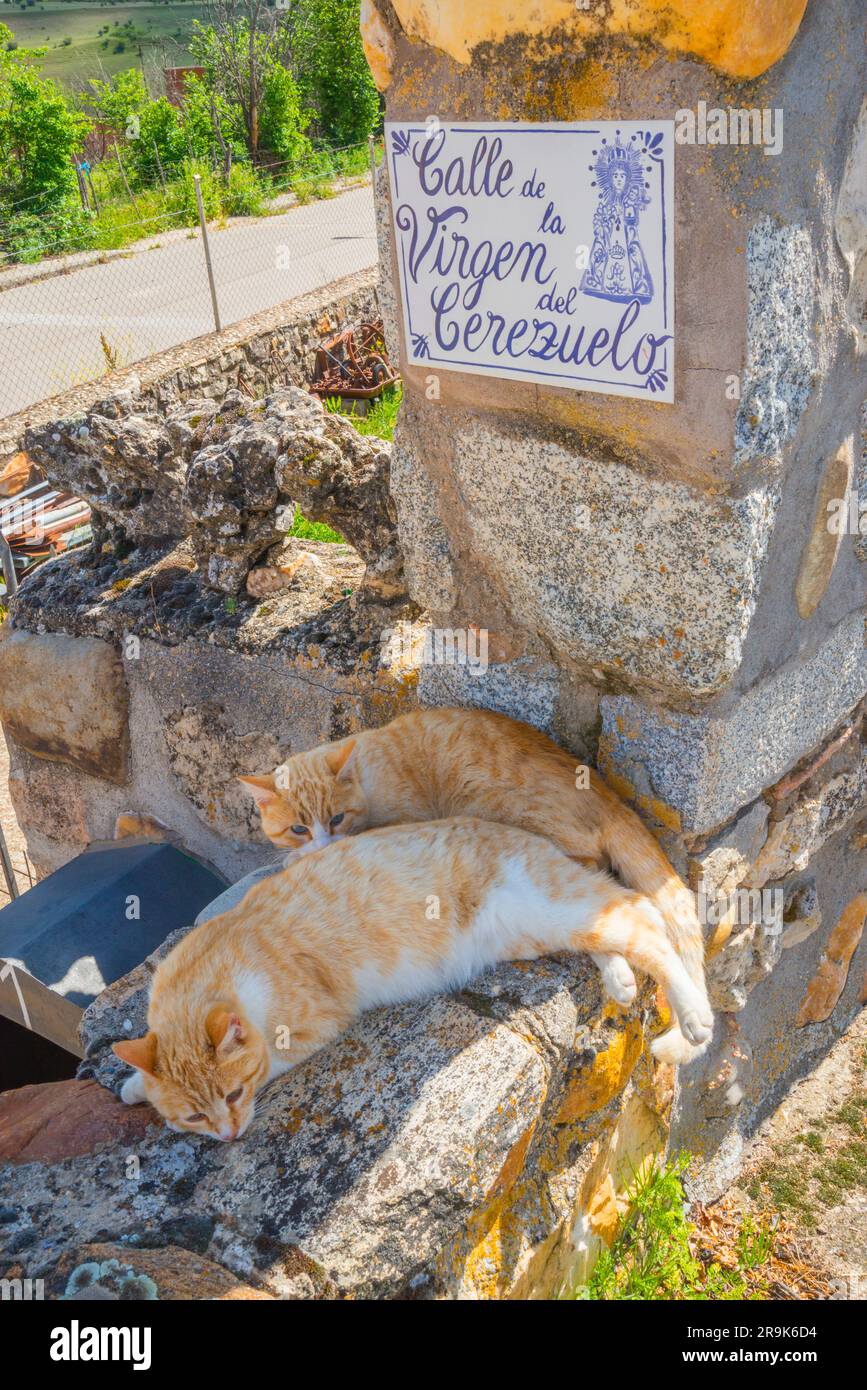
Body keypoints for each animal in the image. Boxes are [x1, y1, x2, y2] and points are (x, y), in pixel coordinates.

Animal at [113, 811, 711, 1139]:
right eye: (197, 1116)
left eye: (234, 1094)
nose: (229, 1134)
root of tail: (528, 836)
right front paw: (139, 1087)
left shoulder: (316, 1024)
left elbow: (270, 1060)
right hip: (545, 927)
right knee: (617, 925)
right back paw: (620, 980)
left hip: (554, 907)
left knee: (645, 918)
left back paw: (693, 1020)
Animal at [240, 711, 708, 1056]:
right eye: (298, 827)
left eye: (336, 817)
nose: (320, 840)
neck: (369, 773)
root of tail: (607, 794)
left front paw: (306, 857)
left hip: (504, 815)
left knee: (609, 905)